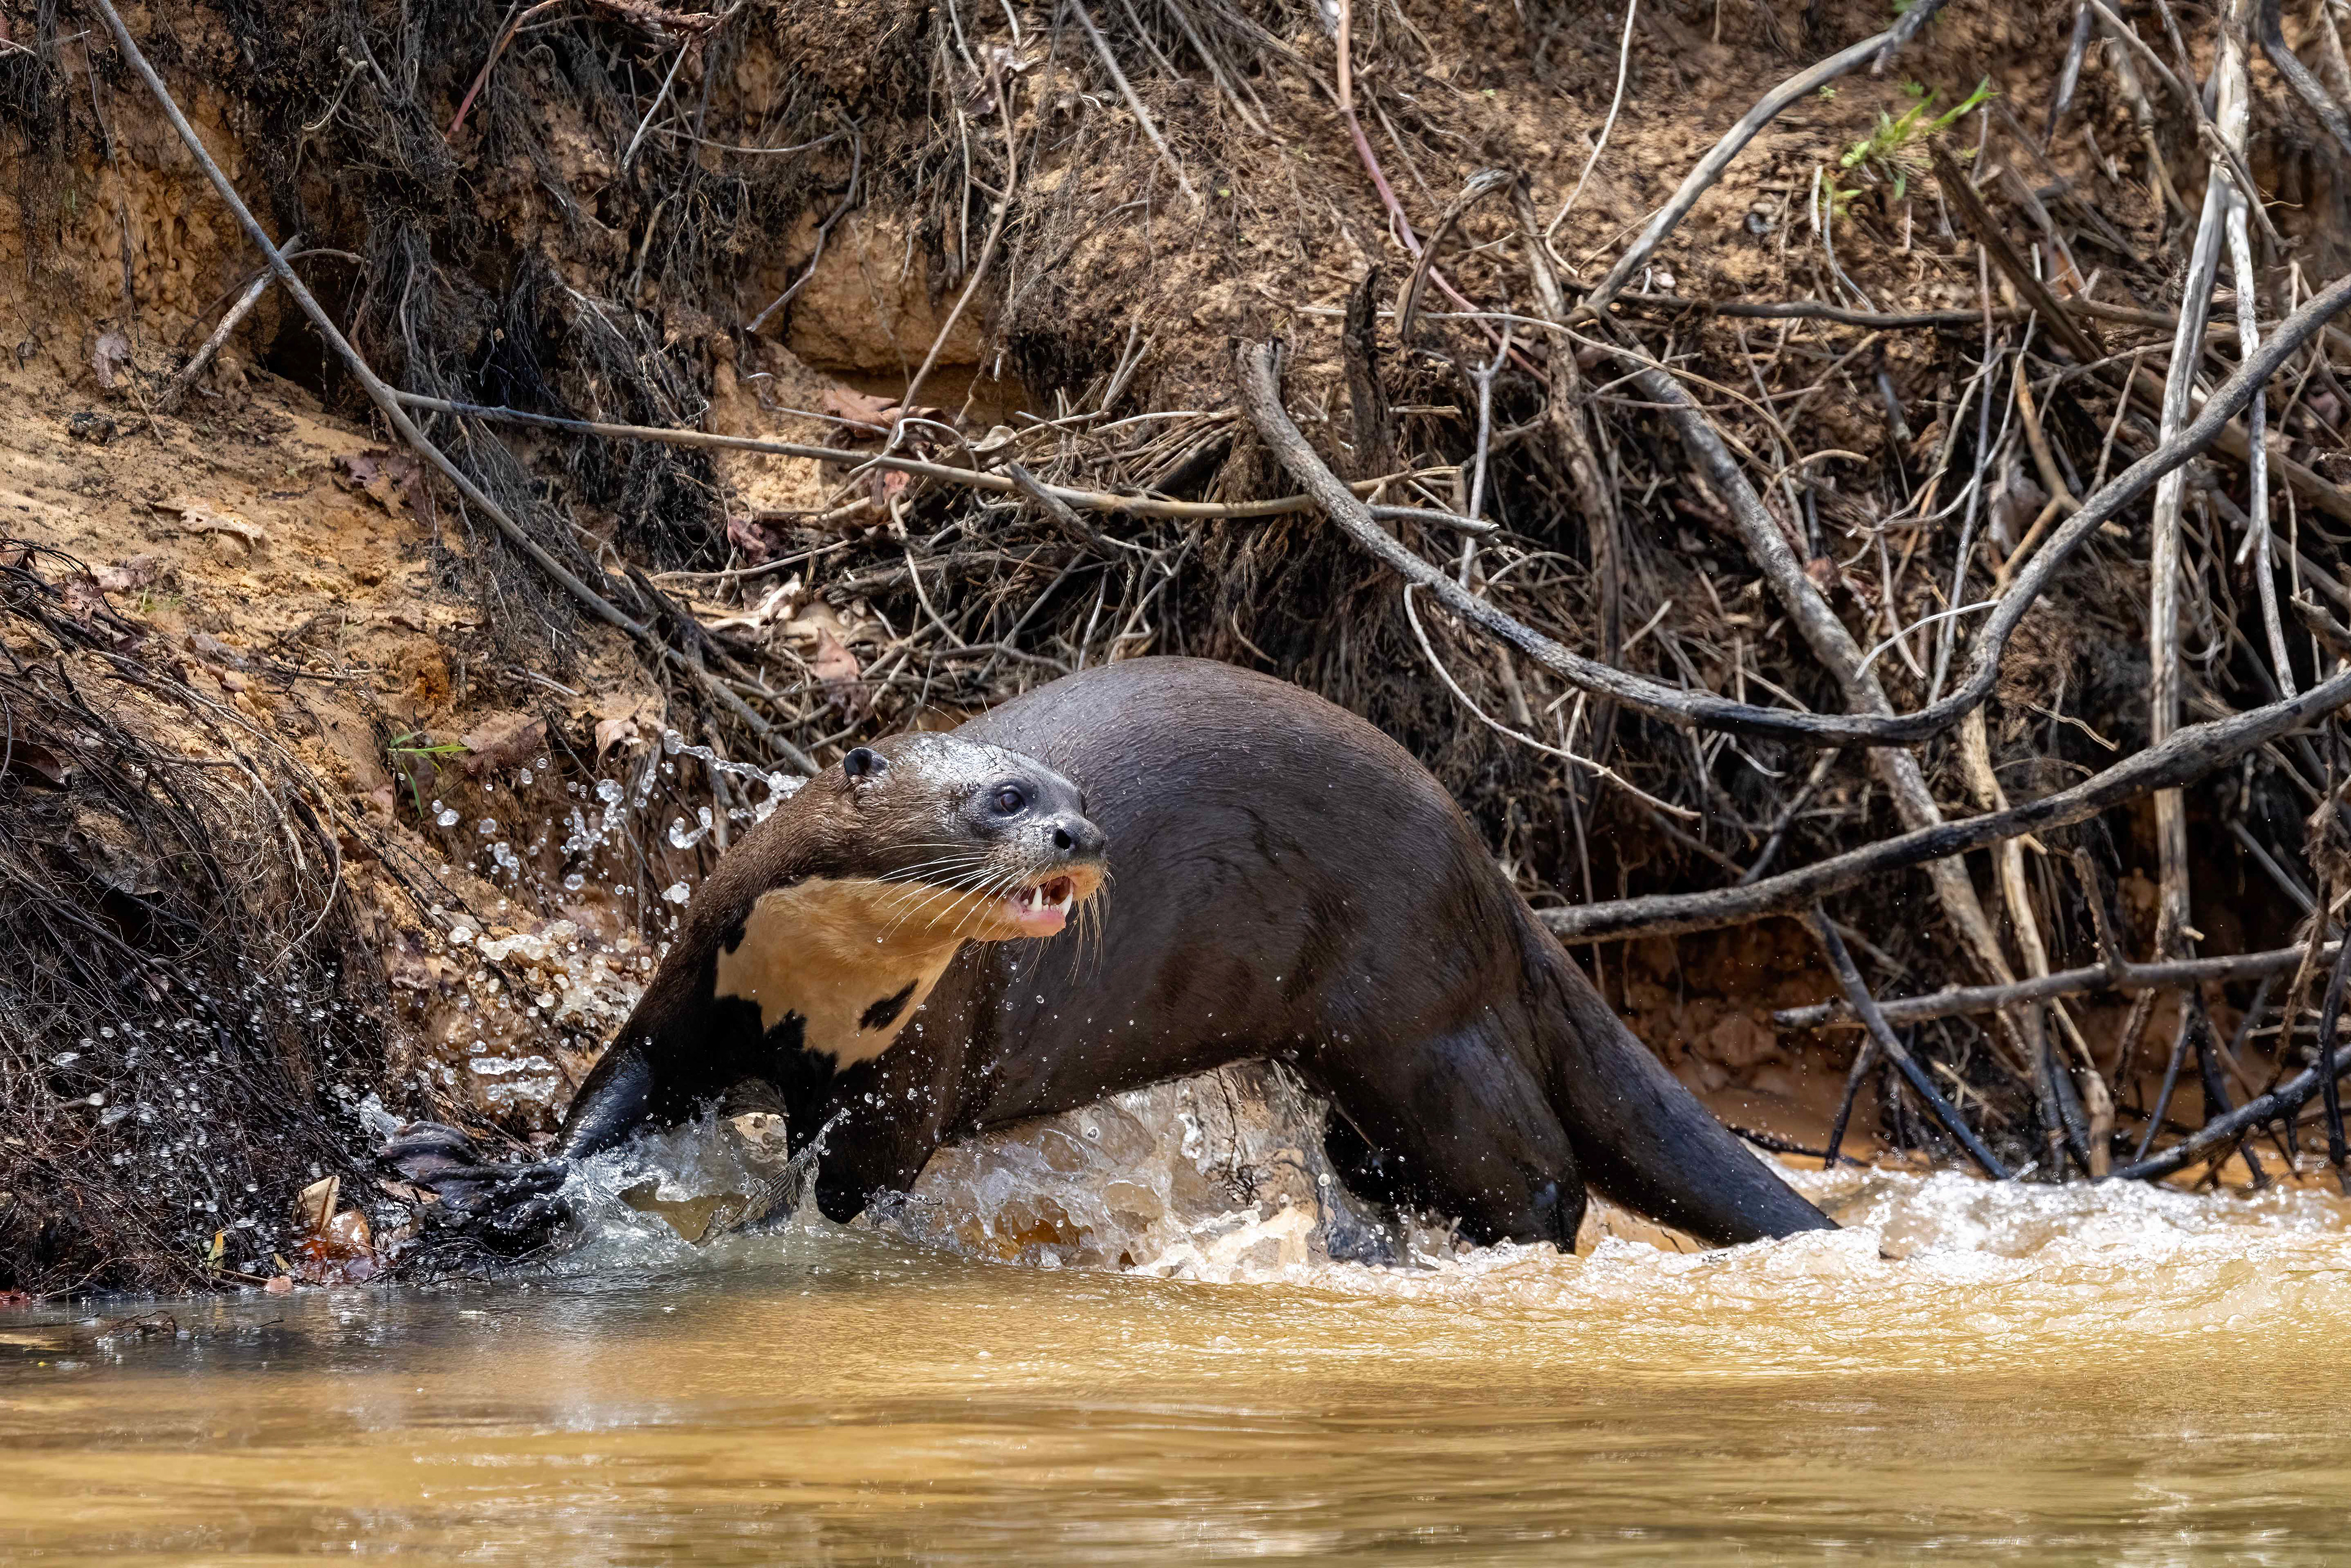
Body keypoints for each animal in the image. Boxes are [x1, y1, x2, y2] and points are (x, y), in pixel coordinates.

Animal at [385, 657, 1833, 1251]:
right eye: (1002, 797)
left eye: (1068, 788)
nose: (1082, 832)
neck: (820, 997)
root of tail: (1488, 868)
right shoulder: (706, 973)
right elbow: (617, 1087)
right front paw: (495, 1174)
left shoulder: (913, 1063)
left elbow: (850, 1185)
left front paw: (744, 1231)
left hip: (1421, 1019)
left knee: (1537, 1172)